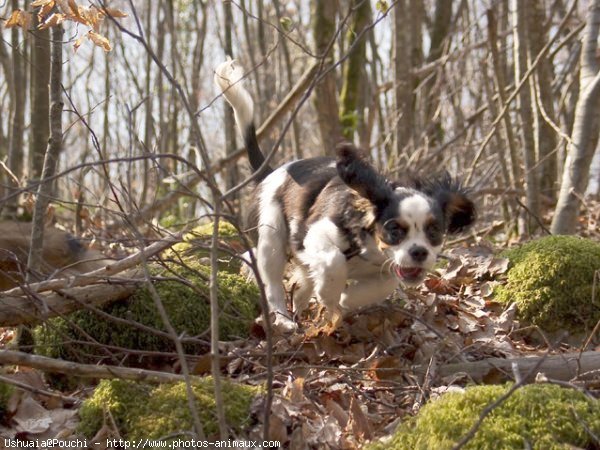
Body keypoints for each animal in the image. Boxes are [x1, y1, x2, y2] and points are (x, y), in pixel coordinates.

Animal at [213, 59, 476, 332]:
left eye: (434, 231)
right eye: (394, 230)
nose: (419, 253)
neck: (370, 248)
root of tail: (271, 171)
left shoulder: (386, 268)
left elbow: (387, 282)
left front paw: (348, 299)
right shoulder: (315, 234)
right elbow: (334, 262)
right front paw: (330, 295)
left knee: (300, 278)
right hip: (271, 235)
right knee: (270, 278)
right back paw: (284, 319)